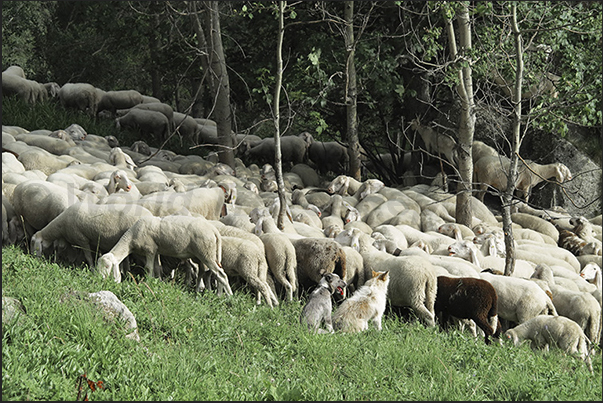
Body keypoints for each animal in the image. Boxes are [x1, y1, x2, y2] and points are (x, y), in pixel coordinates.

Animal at [98, 215, 232, 296]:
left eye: (107, 267)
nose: (99, 280)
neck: (131, 239)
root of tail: (214, 231)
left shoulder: (150, 250)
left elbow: (149, 268)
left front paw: (148, 282)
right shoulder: (156, 251)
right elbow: (158, 267)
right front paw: (158, 281)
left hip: (206, 253)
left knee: (220, 274)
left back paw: (229, 296)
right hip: (205, 254)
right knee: (205, 272)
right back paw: (205, 292)